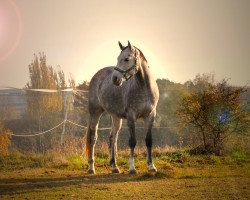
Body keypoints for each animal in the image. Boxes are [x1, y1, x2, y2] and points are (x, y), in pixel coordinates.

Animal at [86, 40, 159, 173]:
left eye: (126, 59)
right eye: (117, 58)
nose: (115, 79)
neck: (144, 88)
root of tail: (96, 76)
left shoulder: (150, 116)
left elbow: (149, 141)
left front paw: (151, 166)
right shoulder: (131, 117)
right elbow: (132, 142)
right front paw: (132, 168)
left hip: (115, 117)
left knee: (112, 138)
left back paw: (114, 166)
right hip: (95, 113)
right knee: (93, 139)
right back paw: (91, 168)